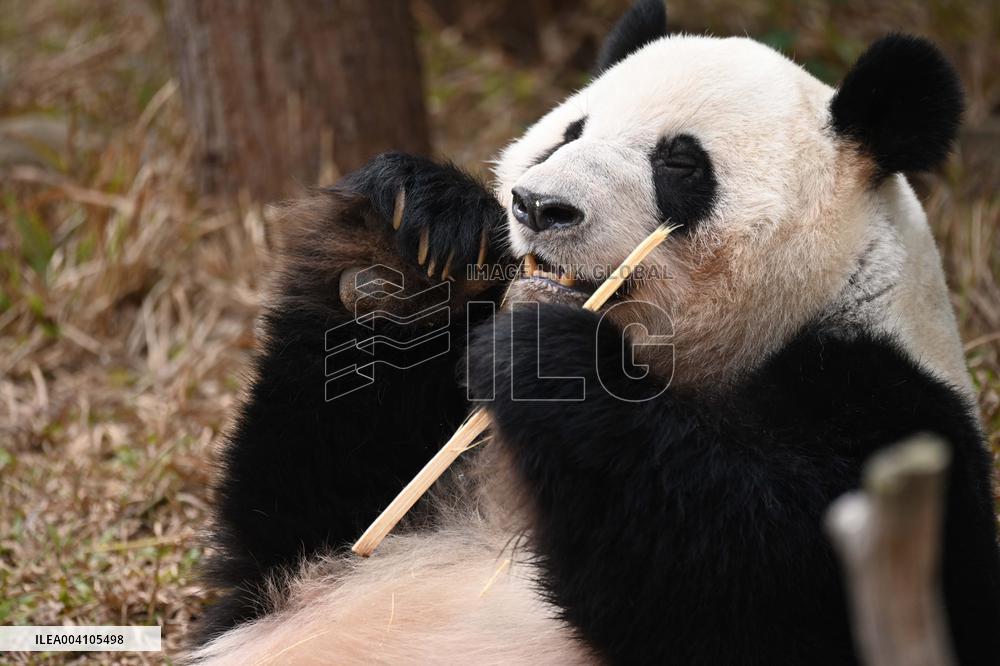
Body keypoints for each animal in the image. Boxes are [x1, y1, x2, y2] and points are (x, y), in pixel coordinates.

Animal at [188, 1, 1000, 664]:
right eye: (569, 133)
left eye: (680, 163)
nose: (537, 205)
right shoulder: (346, 539)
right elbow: (293, 525)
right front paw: (414, 231)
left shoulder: (890, 409)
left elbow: (760, 571)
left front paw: (548, 360)